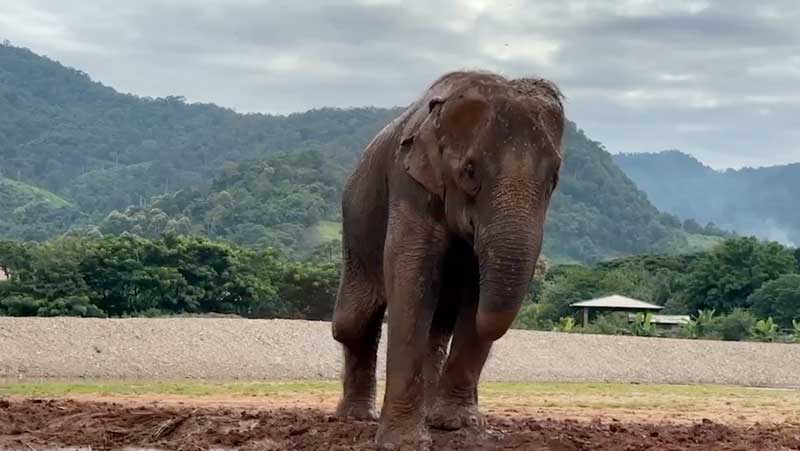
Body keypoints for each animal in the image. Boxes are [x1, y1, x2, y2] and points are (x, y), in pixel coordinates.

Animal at [330, 69, 564, 450]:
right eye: (469, 171)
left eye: (554, 177)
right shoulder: (409, 184)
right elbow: (411, 276)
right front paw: (404, 443)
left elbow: (473, 291)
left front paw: (456, 426)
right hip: (355, 228)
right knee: (352, 322)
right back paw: (356, 417)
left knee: (435, 326)